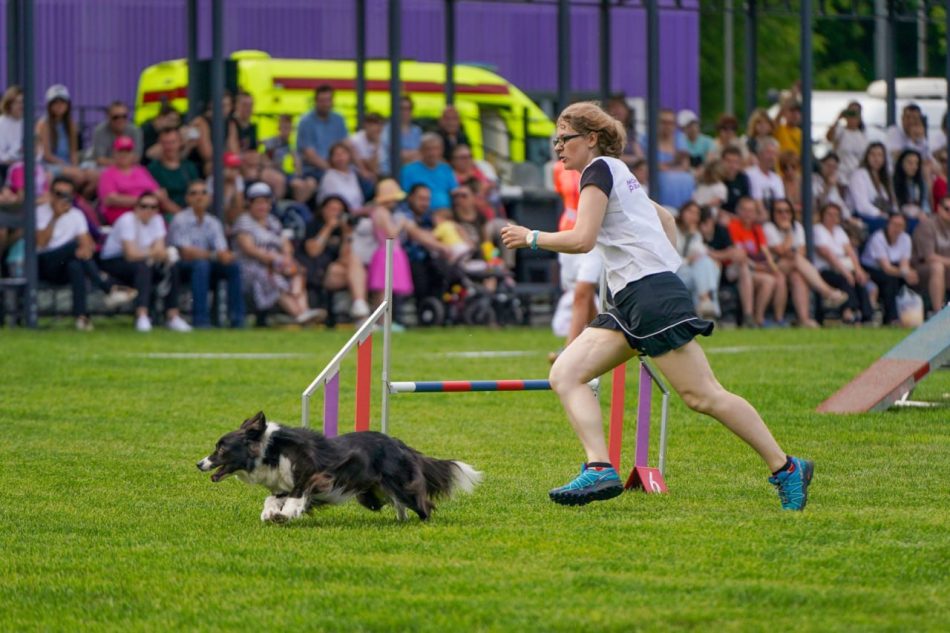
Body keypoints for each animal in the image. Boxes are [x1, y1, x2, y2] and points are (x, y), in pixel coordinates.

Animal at [199, 412, 484, 520]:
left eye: (221, 449)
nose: (199, 463)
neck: (271, 451)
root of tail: (400, 444)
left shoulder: (312, 476)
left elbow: (296, 496)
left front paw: (286, 514)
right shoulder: (281, 484)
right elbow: (272, 499)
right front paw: (270, 513)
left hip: (401, 485)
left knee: (422, 503)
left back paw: (422, 519)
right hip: (371, 495)